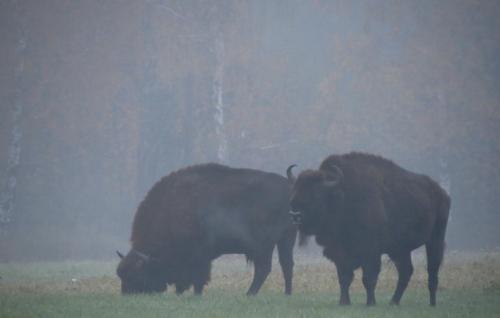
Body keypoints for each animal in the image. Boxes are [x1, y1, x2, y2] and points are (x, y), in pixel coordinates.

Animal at [116, 164, 296, 296]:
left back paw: (249, 294)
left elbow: (198, 277)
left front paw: (195, 294)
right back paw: (287, 293)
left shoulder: (199, 257)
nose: (127, 294)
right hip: (286, 239)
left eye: (136, 275)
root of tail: (289, 187)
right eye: (121, 274)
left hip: (264, 246)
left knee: (264, 269)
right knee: (286, 264)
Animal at [288, 153, 452, 306]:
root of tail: (442, 193)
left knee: (432, 269)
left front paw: (370, 303)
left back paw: (432, 303)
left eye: (316, 193)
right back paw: (393, 302)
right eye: (295, 188)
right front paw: (344, 302)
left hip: (435, 240)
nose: (295, 214)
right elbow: (344, 278)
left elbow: (368, 278)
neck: (343, 197)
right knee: (406, 271)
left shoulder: (371, 252)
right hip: (399, 249)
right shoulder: (340, 252)